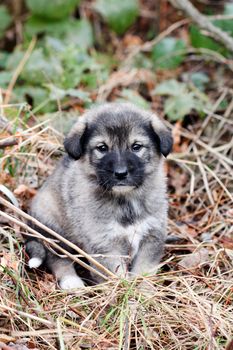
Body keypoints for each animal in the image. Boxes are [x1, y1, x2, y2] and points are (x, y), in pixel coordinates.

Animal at [26, 102, 173, 288]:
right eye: (102, 148)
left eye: (136, 147)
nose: (120, 173)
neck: (125, 201)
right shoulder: (105, 245)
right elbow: (115, 274)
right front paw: (123, 291)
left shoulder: (152, 237)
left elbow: (143, 272)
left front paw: (142, 291)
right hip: (54, 230)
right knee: (57, 258)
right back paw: (71, 282)